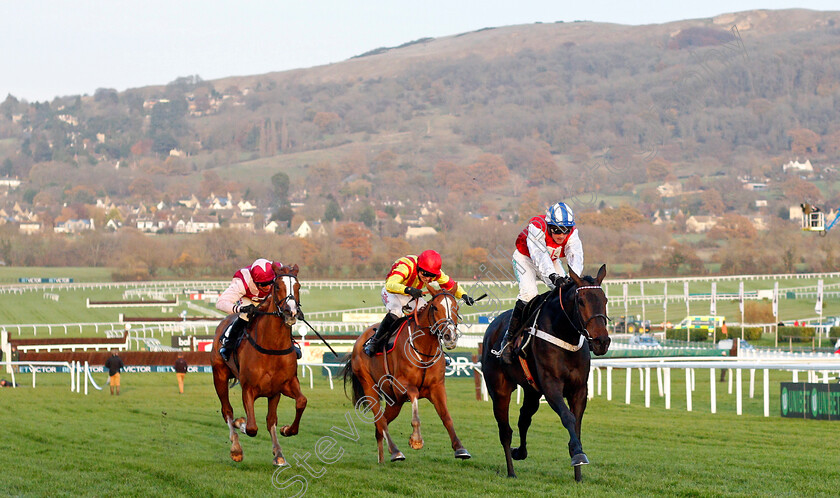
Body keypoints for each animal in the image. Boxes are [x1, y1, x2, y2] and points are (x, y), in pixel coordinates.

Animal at [212, 262, 306, 464]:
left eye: (298, 286)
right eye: (277, 286)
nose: (291, 313)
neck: (272, 346)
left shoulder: (281, 386)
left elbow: (297, 404)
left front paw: (285, 435)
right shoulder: (248, 388)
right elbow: (251, 427)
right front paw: (241, 424)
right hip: (219, 376)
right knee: (227, 411)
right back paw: (236, 447)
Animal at [342, 288, 472, 462]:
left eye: (456, 307)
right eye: (435, 308)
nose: (449, 337)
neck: (424, 349)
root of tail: (359, 341)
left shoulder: (437, 387)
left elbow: (446, 417)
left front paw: (460, 448)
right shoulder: (402, 386)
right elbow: (415, 401)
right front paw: (416, 440)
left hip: (394, 402)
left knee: (380, 426)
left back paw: (382, 459)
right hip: (370, 386)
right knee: (380, 421)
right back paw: (396, 451)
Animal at [480, 266, 612, 480]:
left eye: (604, 300)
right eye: (581, 301)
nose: (602, 341)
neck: (565, 335)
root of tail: (492, 325)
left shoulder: (579, 389)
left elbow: (576, 423)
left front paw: (578, 473)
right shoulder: (551, 386)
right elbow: (568, 417)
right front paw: (578, 454)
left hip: (532, 391)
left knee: (524, 418)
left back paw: (520, 452)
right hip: (499, 390)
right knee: (505, 431)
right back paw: (511, 472)